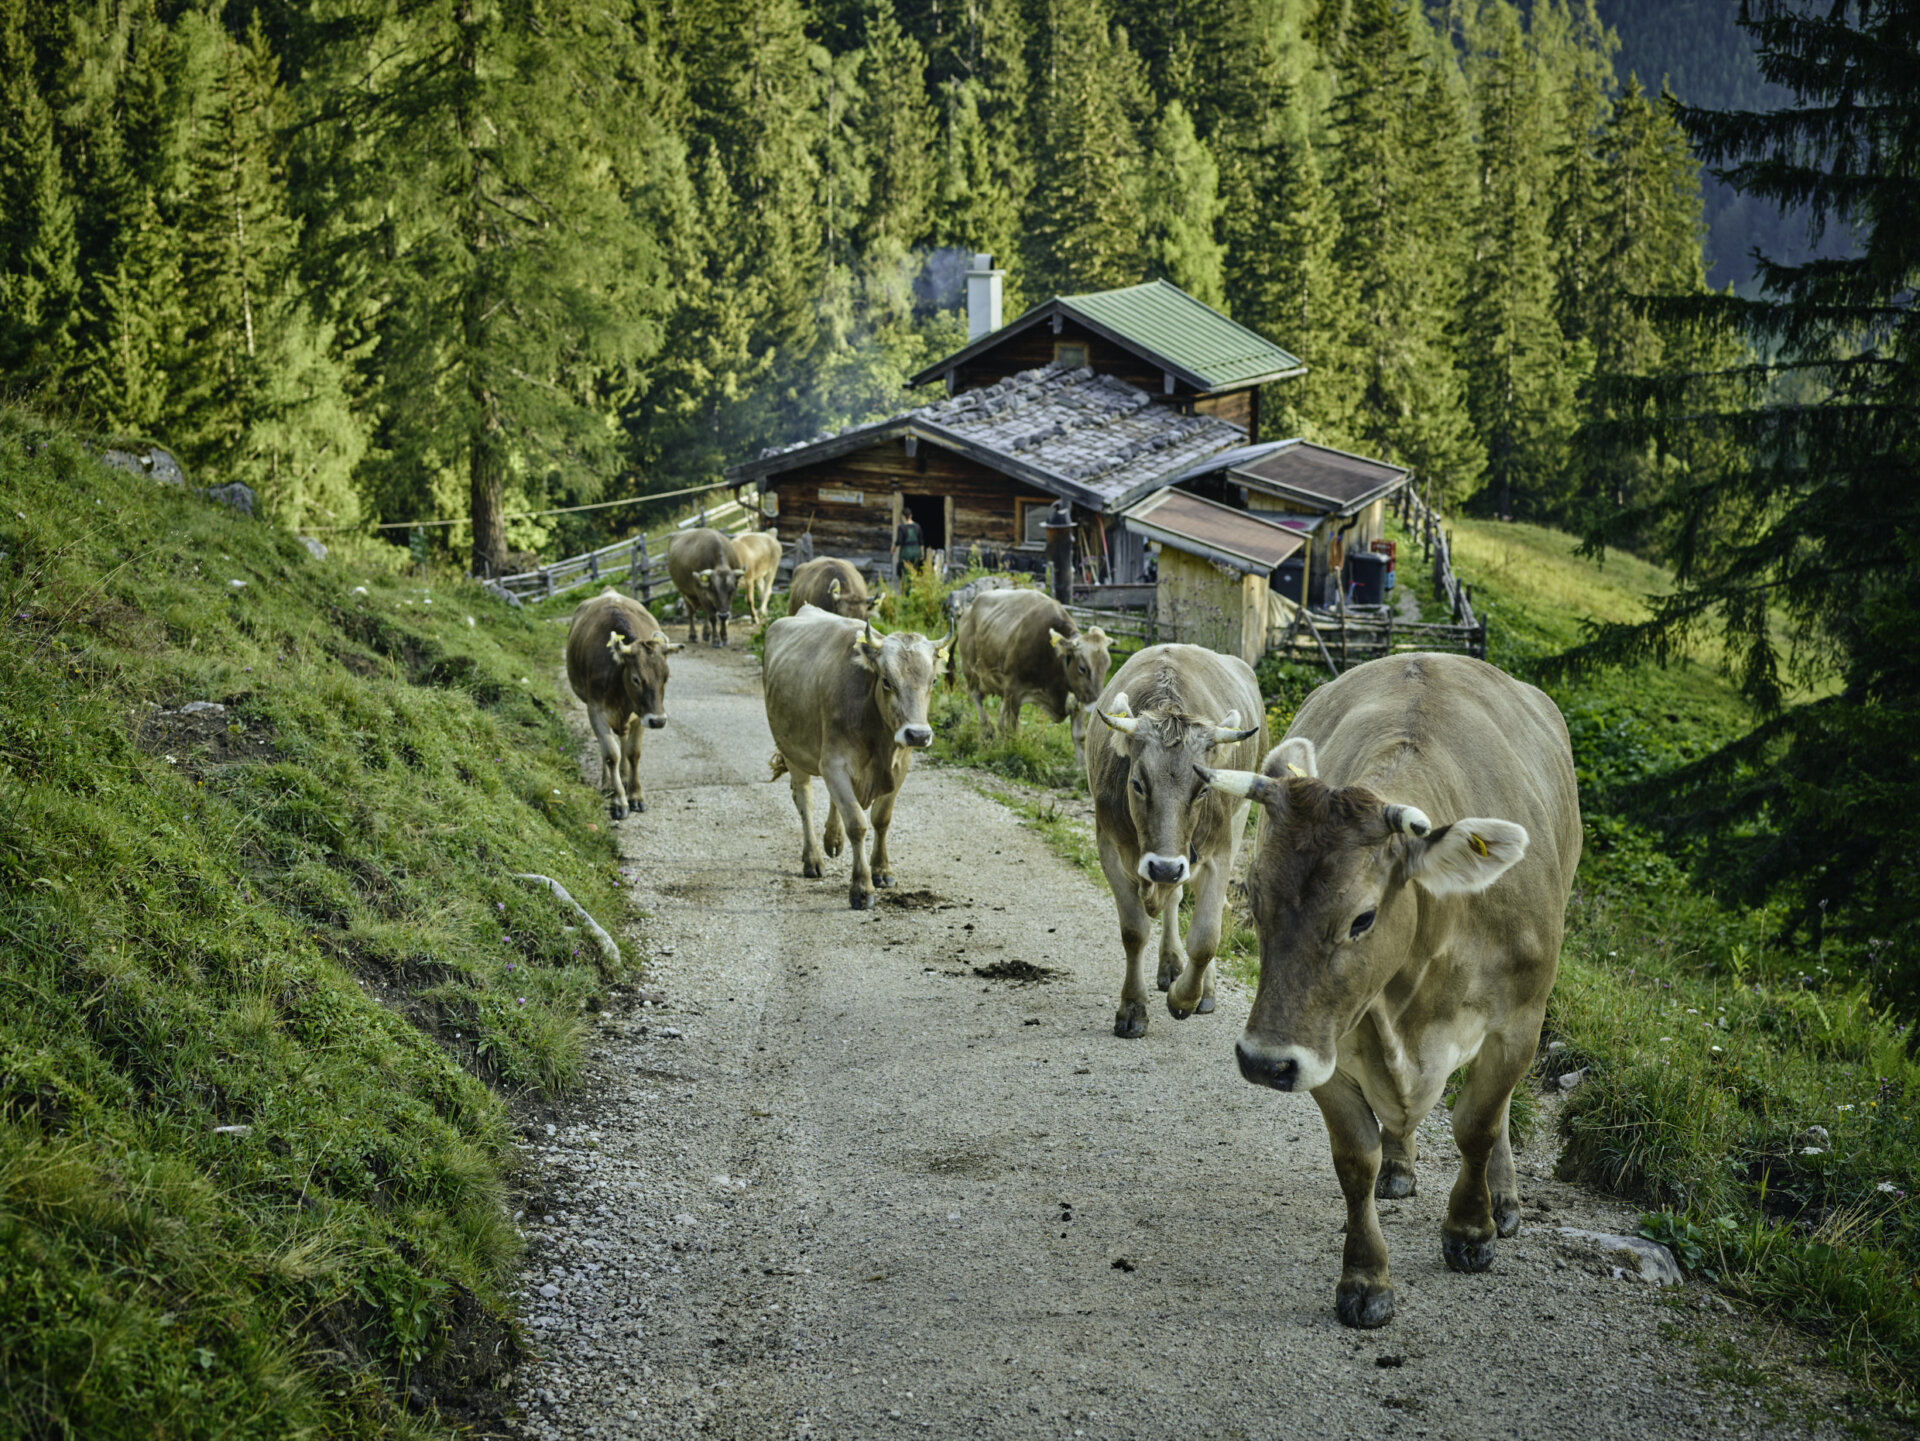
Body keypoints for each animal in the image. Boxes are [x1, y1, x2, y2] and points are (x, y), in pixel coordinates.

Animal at [560, 590, 683, 821]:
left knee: (624, 742)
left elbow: (633, 754)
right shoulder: (596, 711)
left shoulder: (641, 716)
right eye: (636, 679)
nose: (658, 721)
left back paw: (624, 778)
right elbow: (611, 754)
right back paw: (607, 784)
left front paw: (635, 795)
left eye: (666, 677)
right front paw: (618, 800)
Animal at [756, 610, 952, 913]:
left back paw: (832, 840)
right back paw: (813, 859)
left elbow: (881, 819)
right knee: (804, 802)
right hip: (791, 751)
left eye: (933, 681)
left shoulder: (900, 768)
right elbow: (857, 824)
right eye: (886, 681)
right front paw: (862, 887)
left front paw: (882, 870)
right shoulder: (833, 764)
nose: (918, 735)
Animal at [956, 587, 1113, 771]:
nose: (1096, 705)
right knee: (975, 697)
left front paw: (1082, 768)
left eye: (1107, 666)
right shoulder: (1013, 690)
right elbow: (1012, 729)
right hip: (971, 671)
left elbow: (1080, 735)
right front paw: (1010, 753)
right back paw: (987, 730)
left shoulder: (1077, 697)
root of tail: (969, 609)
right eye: (1082, 668)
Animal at [1090, 648, 1267, 1043]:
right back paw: (1170, 962)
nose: (1165, 866)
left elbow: (1205, 938)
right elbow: (1134, 931)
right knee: (1173, 898)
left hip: (1237, 823)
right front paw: (1132, 1009)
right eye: (1137, 783)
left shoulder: (1218, 855)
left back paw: (1202, 987)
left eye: (1202, 789)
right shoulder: (1109, 849)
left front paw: (1186, 998)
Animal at [1190, 652, 1582, 1327]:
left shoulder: (1520, 1022)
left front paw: (1472, 1229)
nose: (1262, 1062)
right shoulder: (1323, 1047)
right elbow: (1356, 1159)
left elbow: (1479, 1124)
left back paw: (1502, 1197)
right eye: (1254, 896)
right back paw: (1400, 1163)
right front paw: (1366, 1278)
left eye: (1363, 918)